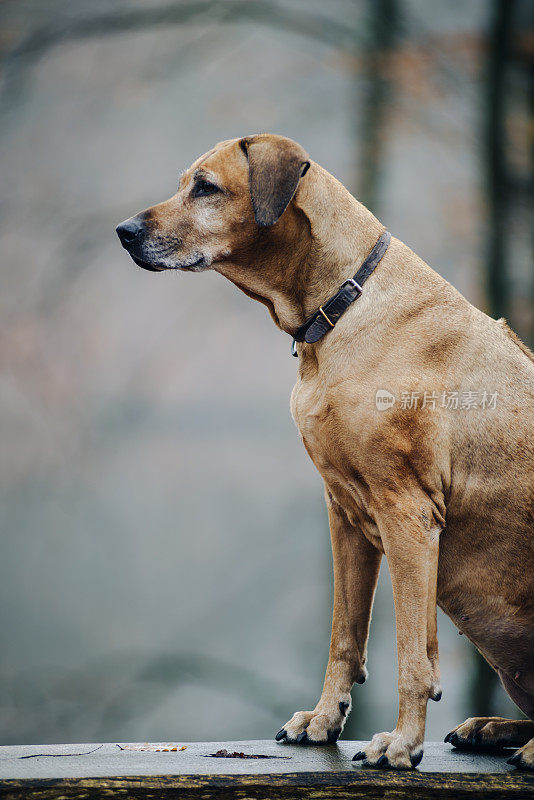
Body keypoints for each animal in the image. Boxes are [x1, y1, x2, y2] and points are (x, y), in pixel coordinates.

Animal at [118, 136, 534, 768]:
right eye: (185, 182)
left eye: (206, 188)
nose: (124, 231)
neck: (341, 306)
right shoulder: (345, 512)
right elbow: (344, 635)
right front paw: (323, 719)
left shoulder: (408, 513)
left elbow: (412, 653)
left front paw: (403, 743)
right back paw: (493, 728)